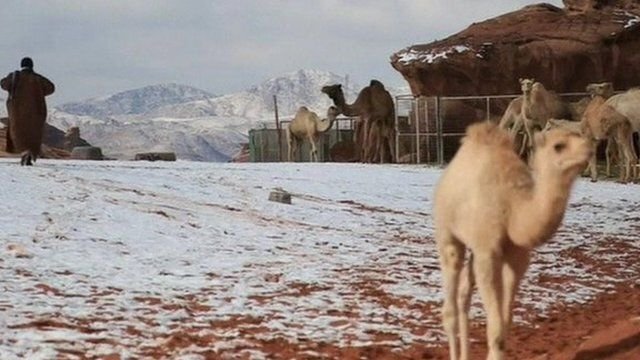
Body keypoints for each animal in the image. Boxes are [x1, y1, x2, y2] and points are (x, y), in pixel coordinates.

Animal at [432, 121, 592, 360]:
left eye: (580, 135)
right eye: (559, 146)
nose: (590, 148)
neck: (513, 210)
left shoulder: (518, 257)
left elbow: (505, 325)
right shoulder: (488, 252)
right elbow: (496, 330)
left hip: (474, 246)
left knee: (464, 294)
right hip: (447, 232)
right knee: (450, 299)